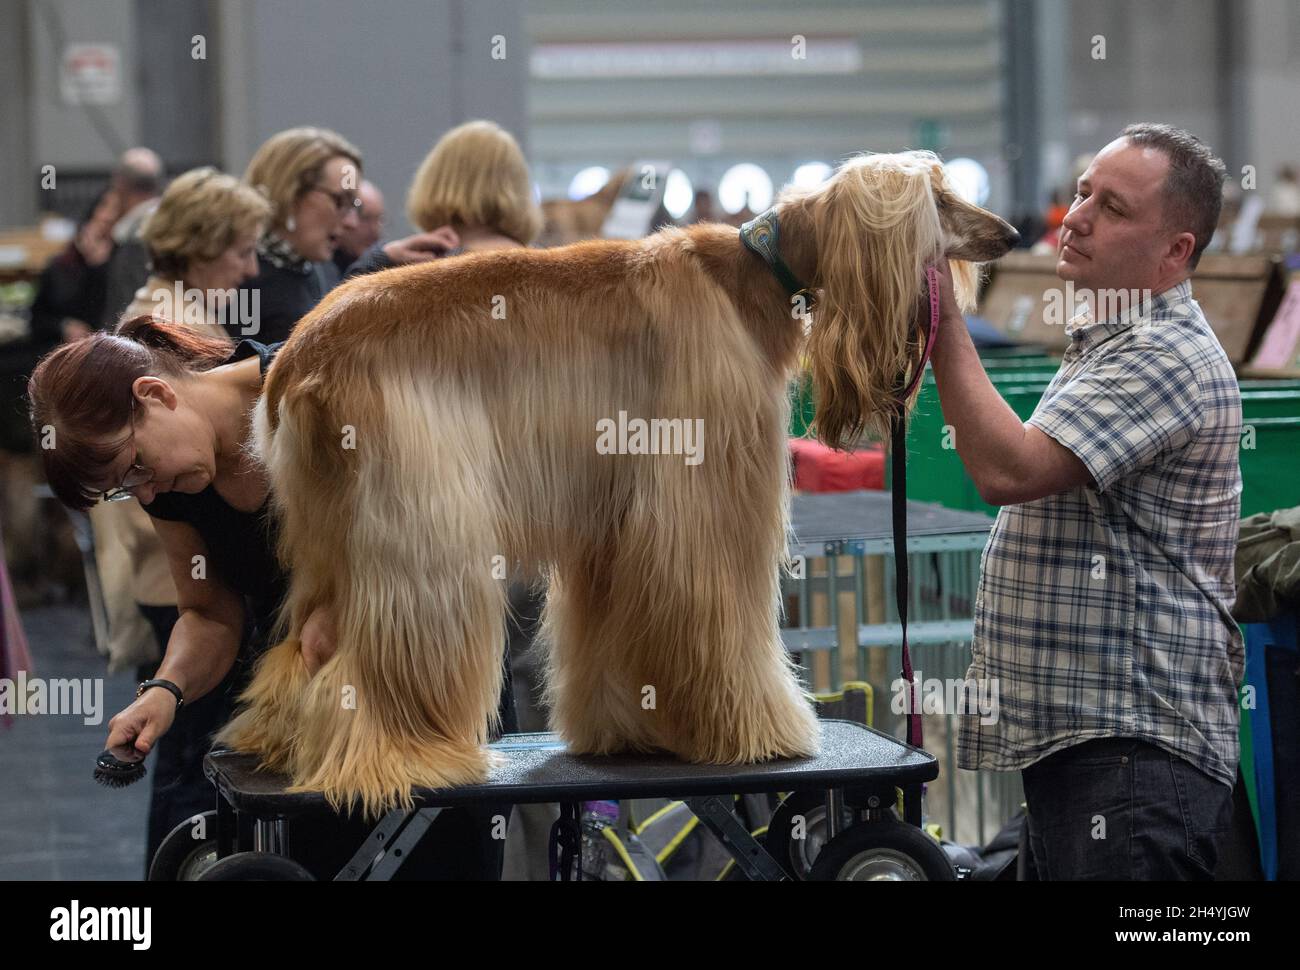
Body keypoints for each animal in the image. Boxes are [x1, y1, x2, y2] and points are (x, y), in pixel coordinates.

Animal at [218, 150, 1019, 816]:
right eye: (940, 199)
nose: (1009, 234)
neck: (757, 273)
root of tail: (295, 361)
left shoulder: (618, 510)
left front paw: (630, 729)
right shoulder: (705, 487)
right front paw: (761, 729)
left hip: (330, 529)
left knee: (311, 641)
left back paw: (281, 739)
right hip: (418, 514)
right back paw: (402, 757)